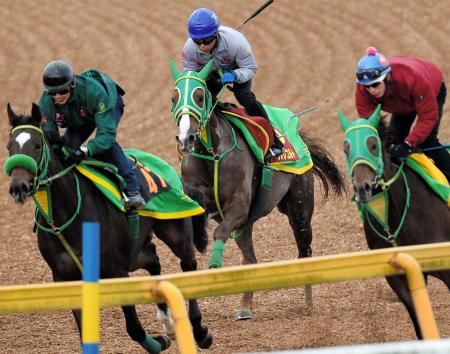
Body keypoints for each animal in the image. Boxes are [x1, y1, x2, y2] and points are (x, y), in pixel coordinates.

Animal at [4, 102, 213, 352]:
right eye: (9, 147)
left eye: (37, 145)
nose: (19, 187)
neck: (66, 218)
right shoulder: (66, 277)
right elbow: (85, 333)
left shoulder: (116, 270)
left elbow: (133, 327)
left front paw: (158, 343)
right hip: (133, 252)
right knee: (153, 258)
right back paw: (168, 321)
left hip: (174, 231)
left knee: (188, 266)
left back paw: (200, 331)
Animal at [170, 60, 348, 320]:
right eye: (174, 98)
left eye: (200, 97)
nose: (185, 138)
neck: (213, 156)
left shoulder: (239, 207)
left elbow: (219, 232)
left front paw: (214, 264)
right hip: (247, 226)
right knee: (251, 260)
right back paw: (245, 307)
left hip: (299, 211)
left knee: (304, 251)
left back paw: (307, 304)